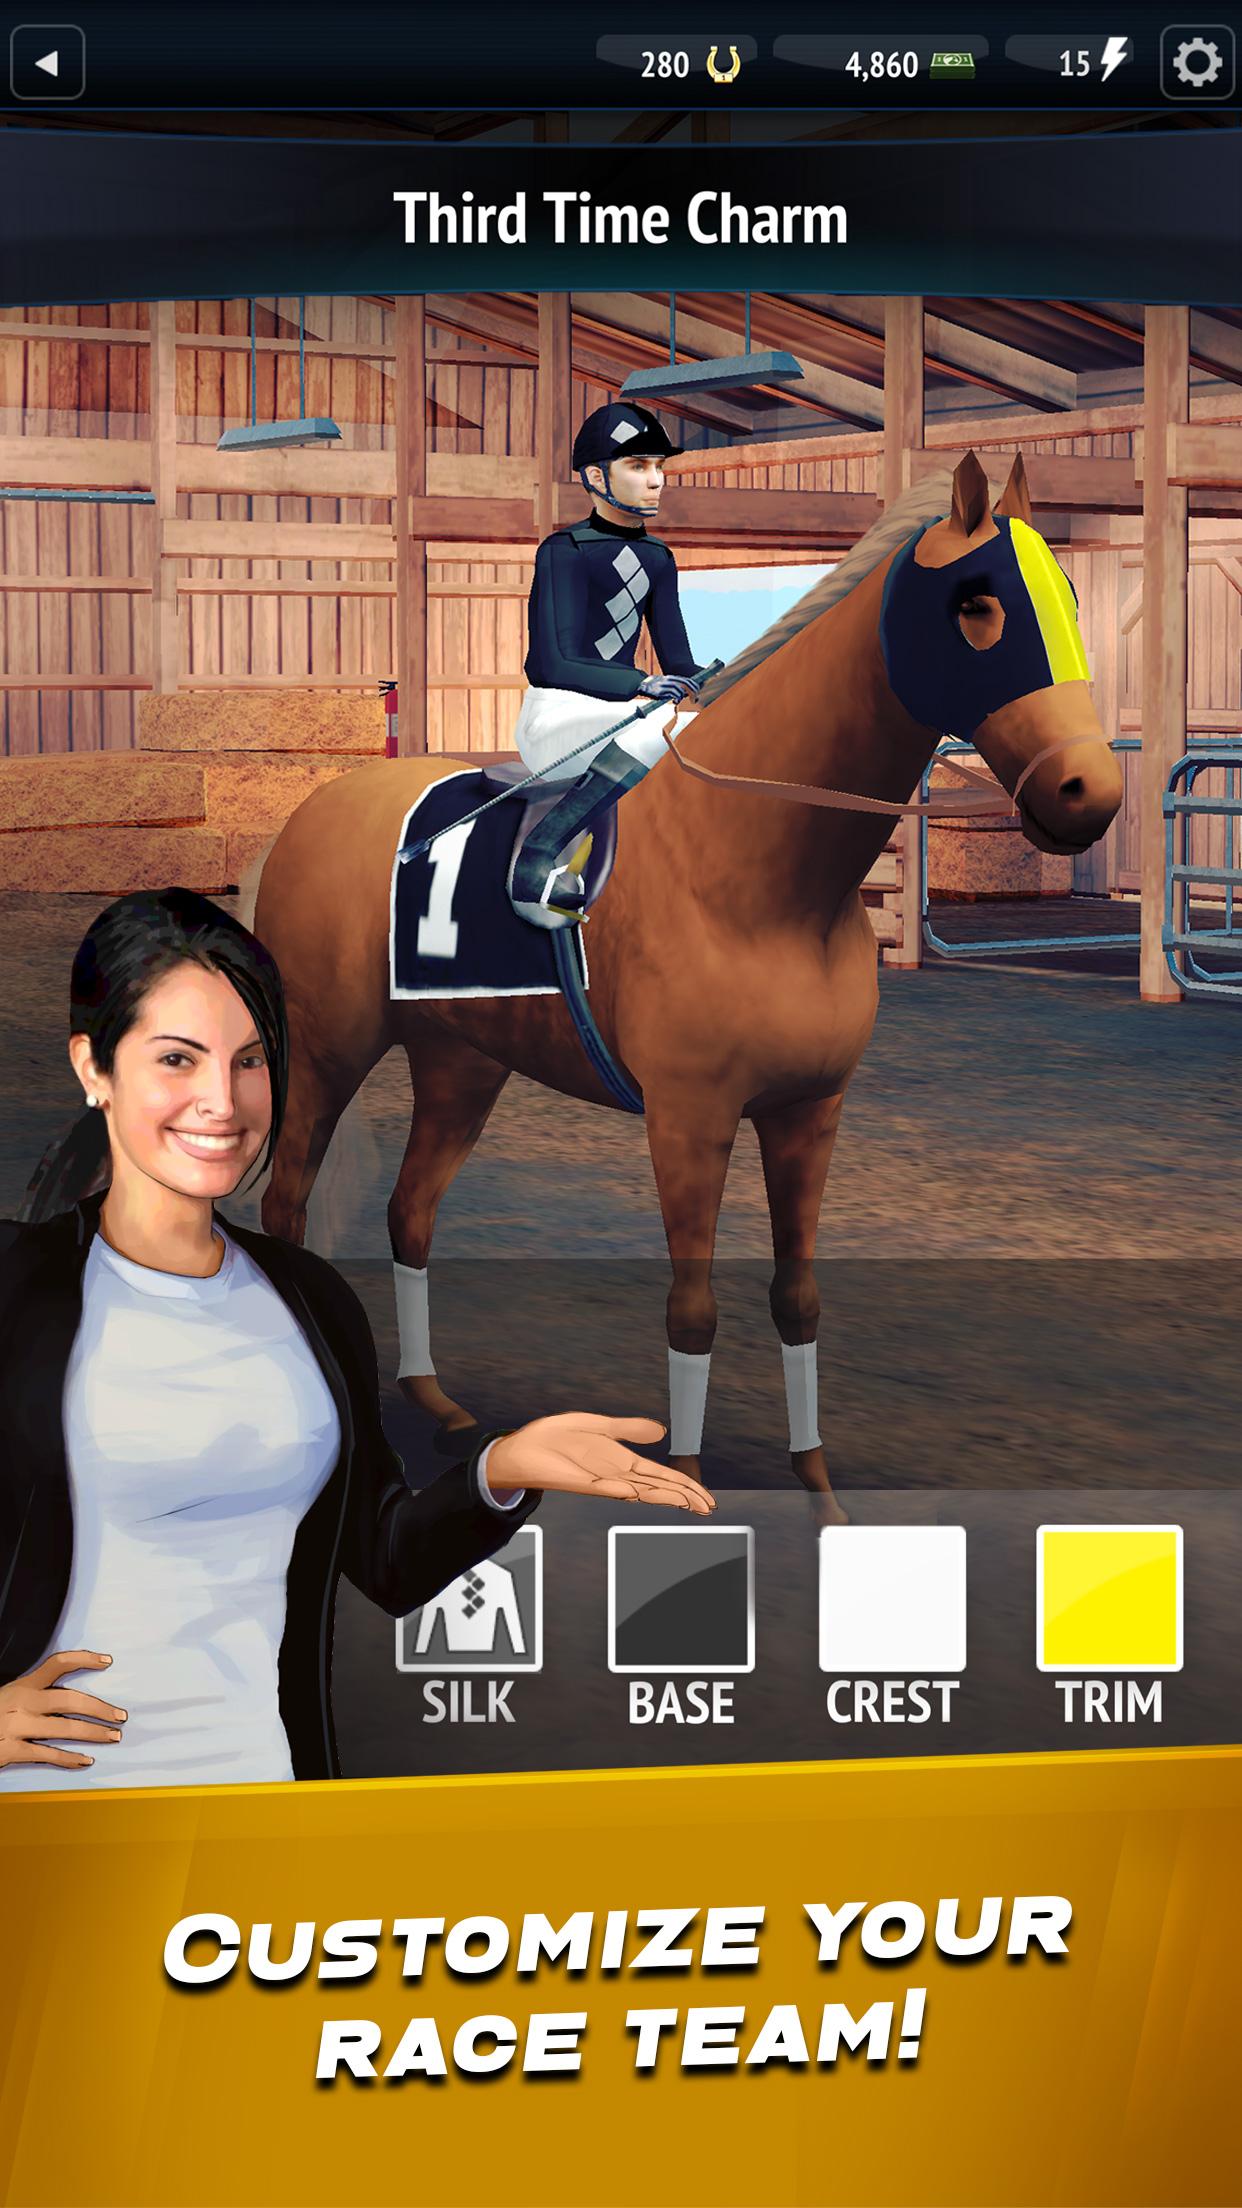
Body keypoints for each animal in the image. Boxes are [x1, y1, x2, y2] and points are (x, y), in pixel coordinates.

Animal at [254, 452, 1123, 1518]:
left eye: (1072, 595)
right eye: (976, 604)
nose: (1089, 795)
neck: (758, 871)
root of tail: (317, 806)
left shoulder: (808, 1112)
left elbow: (797, 1296)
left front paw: (819, 1491)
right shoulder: (690, 1118)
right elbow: (693, 1307)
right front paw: (691, 1486)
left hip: (461, 1063)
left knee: (409, 1212)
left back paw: (437, 1403)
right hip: (330, 1045)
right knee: (288, 1201)